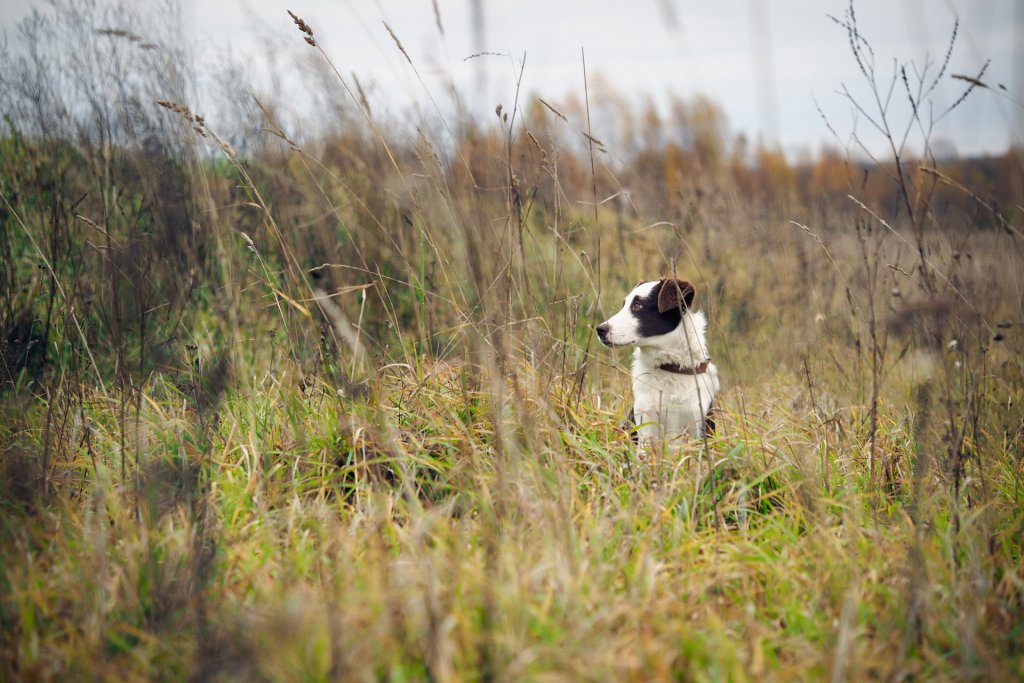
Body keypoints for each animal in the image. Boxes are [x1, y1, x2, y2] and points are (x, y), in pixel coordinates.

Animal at [593, 278, 720, 446]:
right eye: (624, 305)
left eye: (637, 306)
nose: (600, 329)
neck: (670, 367)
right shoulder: (646, 423)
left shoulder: (698, 425)